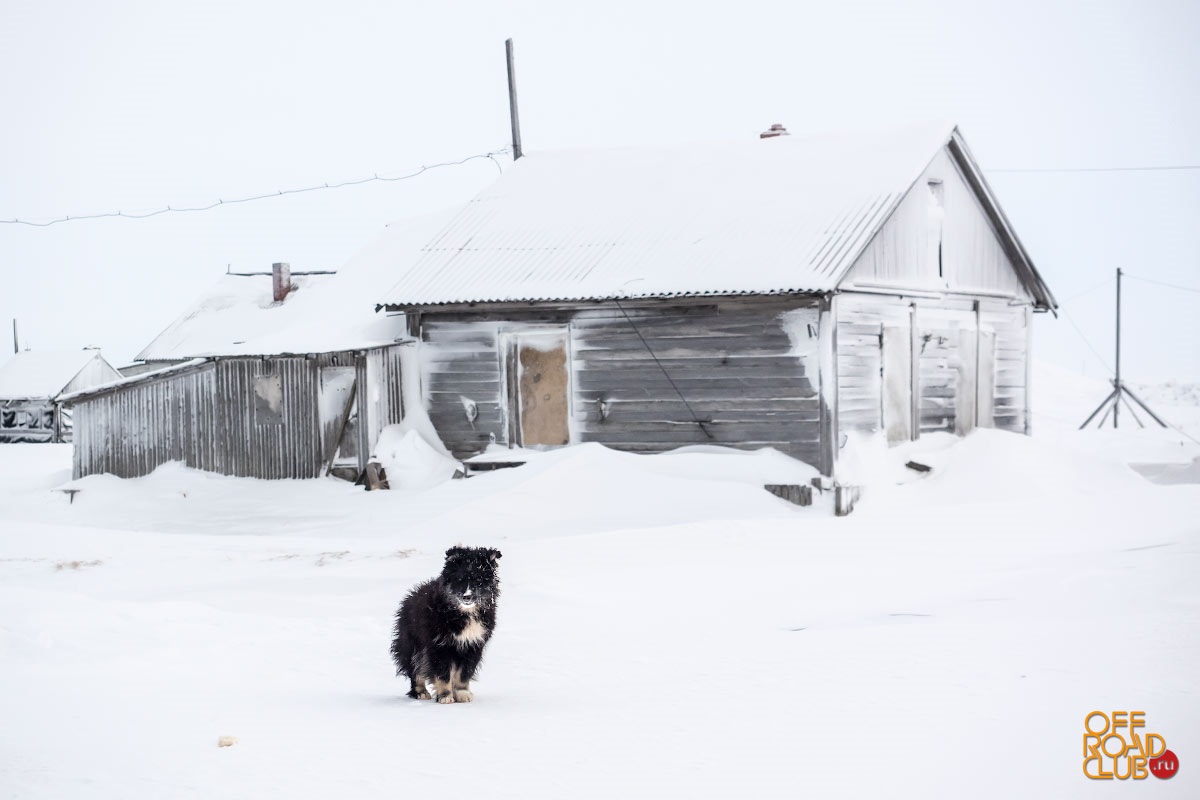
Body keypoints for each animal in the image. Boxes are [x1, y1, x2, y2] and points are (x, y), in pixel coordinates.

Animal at [388, 546, 501, 705]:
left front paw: (462, 694)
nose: (467, 597)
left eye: (478, 581)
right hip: (412, 644)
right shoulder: (438, 645)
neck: (463, 613)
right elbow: (443, 673)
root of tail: (411, 596)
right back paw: (420, 692)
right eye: (459, 580)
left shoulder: (473, 645)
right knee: (415, 669)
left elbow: (464, 673)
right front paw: (445, 696)